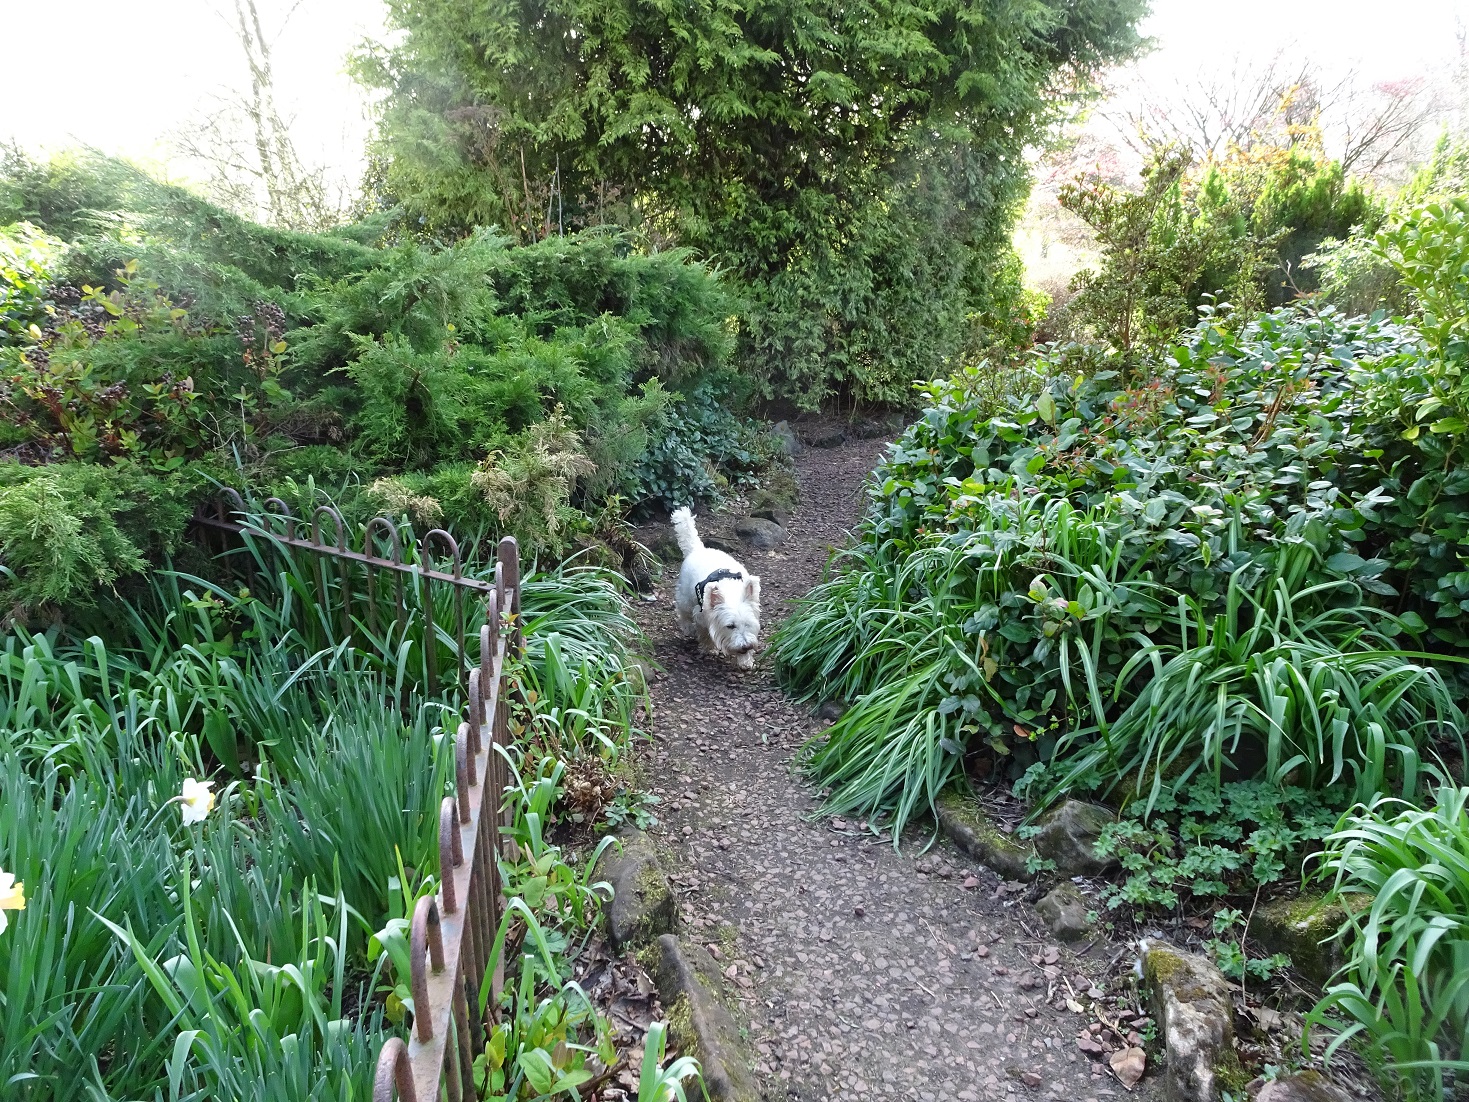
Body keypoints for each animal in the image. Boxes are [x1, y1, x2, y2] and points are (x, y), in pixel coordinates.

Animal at [672, 508, 763, 670]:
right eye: (730, 626)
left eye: (747, 624)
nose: (745, 646)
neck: (731, 591)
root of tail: (698, 549)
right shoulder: (701, 615)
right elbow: (705, 633)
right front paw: (709, 648)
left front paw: (745, 660)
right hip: (685, 598)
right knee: (682, 612)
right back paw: (688, 628)